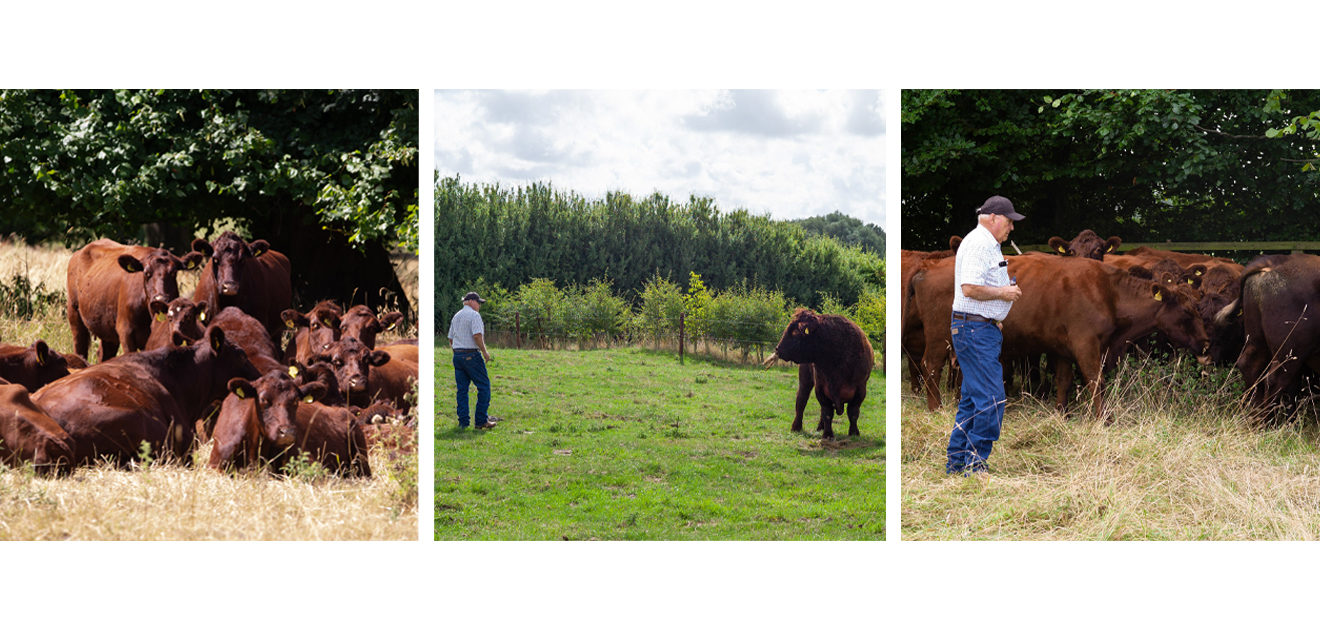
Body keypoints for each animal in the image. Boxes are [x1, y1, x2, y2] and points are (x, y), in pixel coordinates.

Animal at [66, 236, 203, 364]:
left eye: (174, 272)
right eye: (146, 273)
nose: (161, 298)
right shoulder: (125, 331)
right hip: (74, 314)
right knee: (80, 348)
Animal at [760, 307, 871, 435]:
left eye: (795, 333)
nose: (778, 349)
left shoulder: (860, 389)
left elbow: (853, 413)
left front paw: (853, 433)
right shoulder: (821, 388)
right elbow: (827, 412)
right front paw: (828, 434)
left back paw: (820, 427)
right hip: (805, 380)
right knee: (801, 401)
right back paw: (796, 427)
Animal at [918, 253, 1209, 414]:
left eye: (1199, 305)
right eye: (1187, 311)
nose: (1206, 343)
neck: (1108, 292)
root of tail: (931, 266)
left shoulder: (1063, 349)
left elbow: (1064, 381)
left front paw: (1062, 413)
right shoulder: (1086, 344)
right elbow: (1095, 381)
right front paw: (1103, 418)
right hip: (938, 337)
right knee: (930, 366)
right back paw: (936, 409)